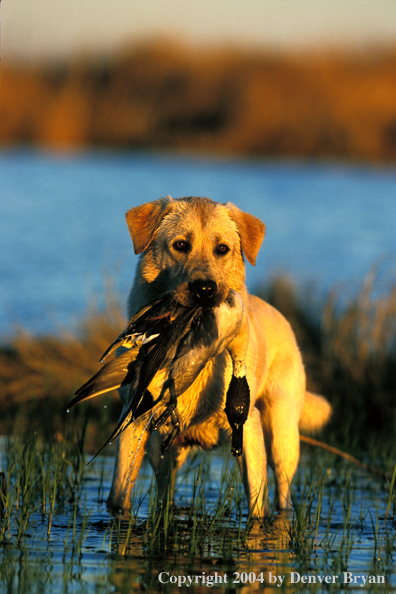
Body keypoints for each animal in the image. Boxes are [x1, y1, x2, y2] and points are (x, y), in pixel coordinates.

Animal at [106, 197, 332, 516]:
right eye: (180, 245)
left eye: (222, 248)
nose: (205, 289)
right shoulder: (134, 421)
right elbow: (118, 494)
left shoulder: (247, 423)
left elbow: (257, 503)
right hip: (163, 450)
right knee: (164, 488)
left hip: (282, 435)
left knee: (283, 491)